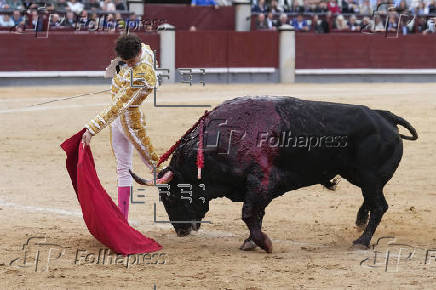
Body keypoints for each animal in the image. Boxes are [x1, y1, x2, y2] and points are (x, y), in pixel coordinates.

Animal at [131, 96, 418, 253]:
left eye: (170, 197)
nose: (181, 231)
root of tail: (384, 116)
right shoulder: (259, 188)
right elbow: (256, 215)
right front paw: (251, 241)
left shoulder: (261, 182)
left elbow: (249, 214)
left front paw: (263, 243)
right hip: (360, 177)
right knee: (371, 202)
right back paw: (359, 224)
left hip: (369, 178)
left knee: (379, 205)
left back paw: (361, 240)